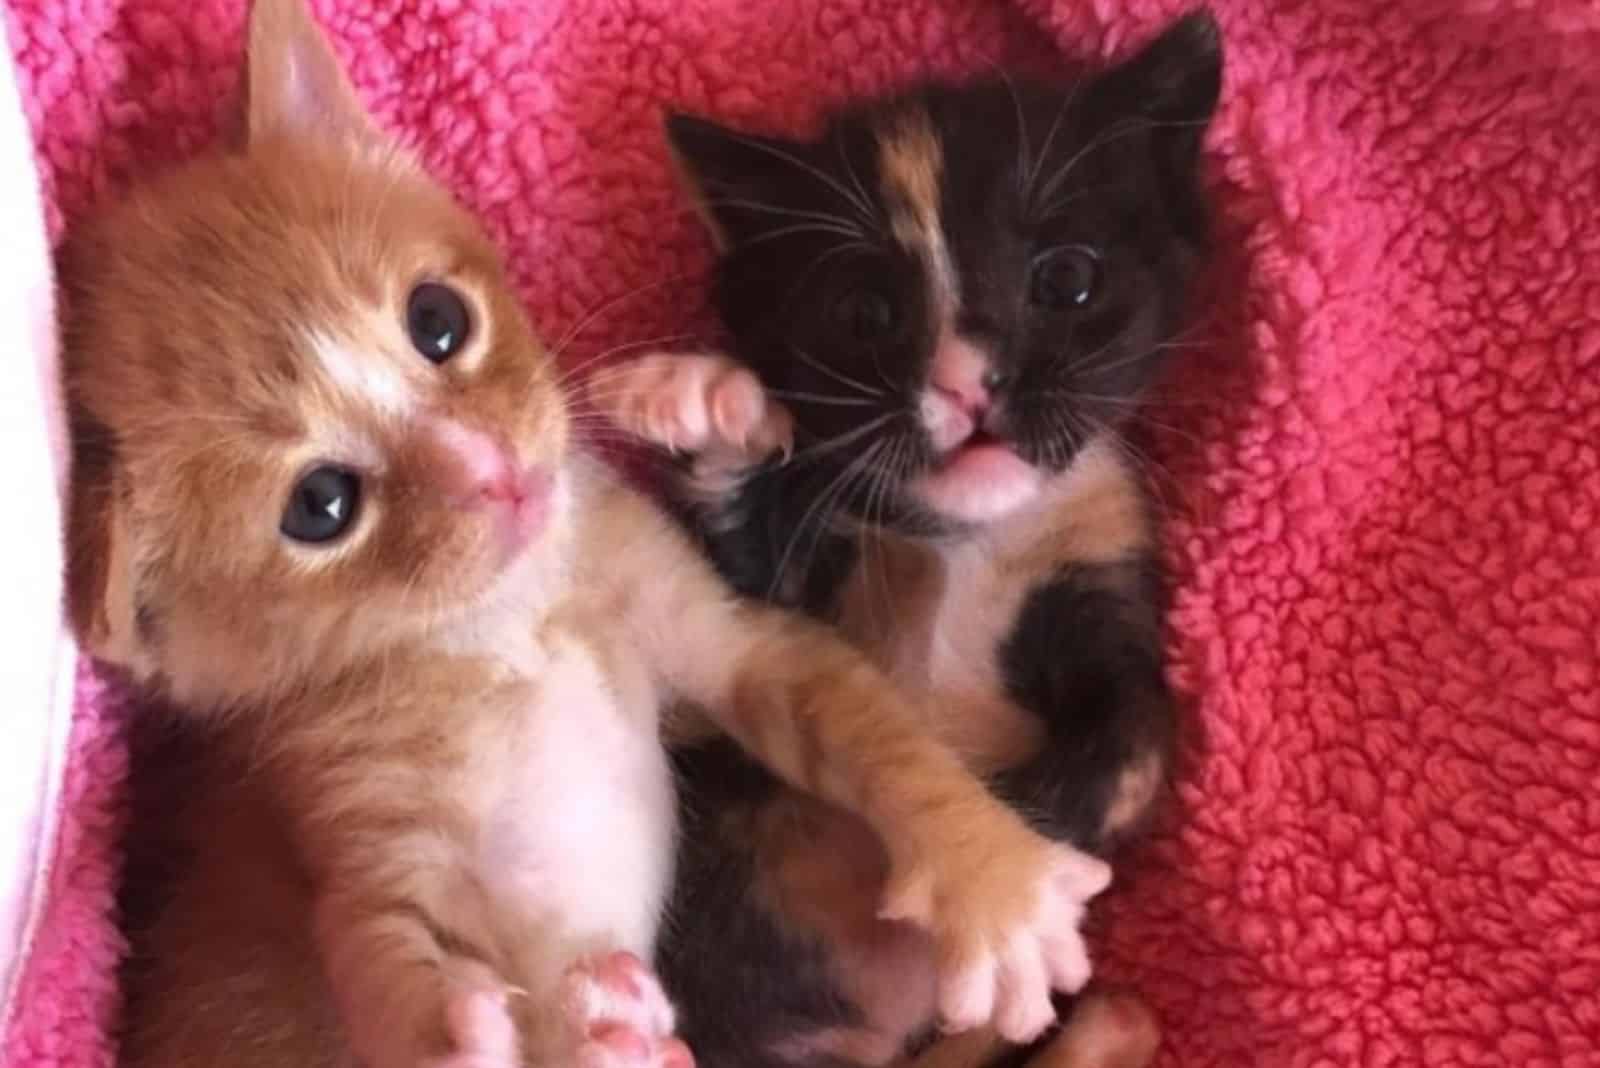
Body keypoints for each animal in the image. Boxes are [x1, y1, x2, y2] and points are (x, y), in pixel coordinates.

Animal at [62, 2, 1120, 1068]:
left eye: (437, 321)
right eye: (320, 505)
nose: (493, 470)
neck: (507, 627)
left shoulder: (719, 634)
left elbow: (877, 734)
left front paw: (993, 881)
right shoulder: (352, 833)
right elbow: (376, 953)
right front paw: (461, 1032)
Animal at [595, 12, 1216, 1068]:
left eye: (1067, 279)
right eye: (866, 312)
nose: (968, 386)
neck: (965, 537)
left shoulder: (1103, 558)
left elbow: (1142, 733)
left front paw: (1024, 832)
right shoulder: (785, 585)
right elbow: (744, 560)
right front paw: (711, 403)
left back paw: (1109, 1023)